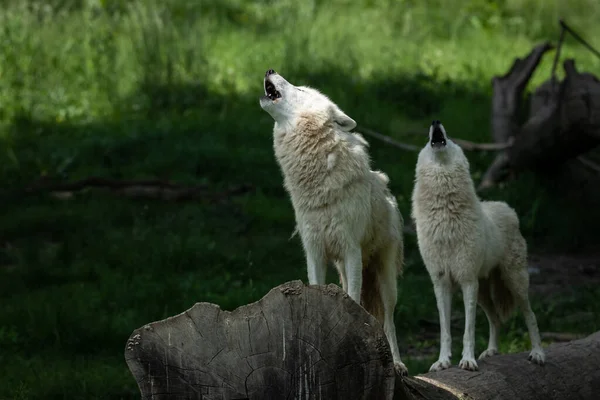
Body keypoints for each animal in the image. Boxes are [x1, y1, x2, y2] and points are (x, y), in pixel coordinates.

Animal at [258, 69, 408, 376]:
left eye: (301, 90)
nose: (270, 70)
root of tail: (388, 190)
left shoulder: (351, 249)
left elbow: (354, 300)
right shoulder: (314, 251)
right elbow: (317, 290)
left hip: (385, 279)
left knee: (389, 320)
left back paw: (398, 364)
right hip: (343, 267)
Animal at [412, 121, 544, 372]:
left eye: (451, 138)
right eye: (427, 140)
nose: (435, 122)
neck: (444, 216)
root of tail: (505, 207)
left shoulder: (467, 281)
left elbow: (468, 330)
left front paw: (467, 360)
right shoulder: (441, 283)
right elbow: (445, 331)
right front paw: (442, 361)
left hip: (514, 283)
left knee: (531, 315)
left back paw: (538, 353)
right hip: (483, 291)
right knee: (495, 319)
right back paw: (492, 351)